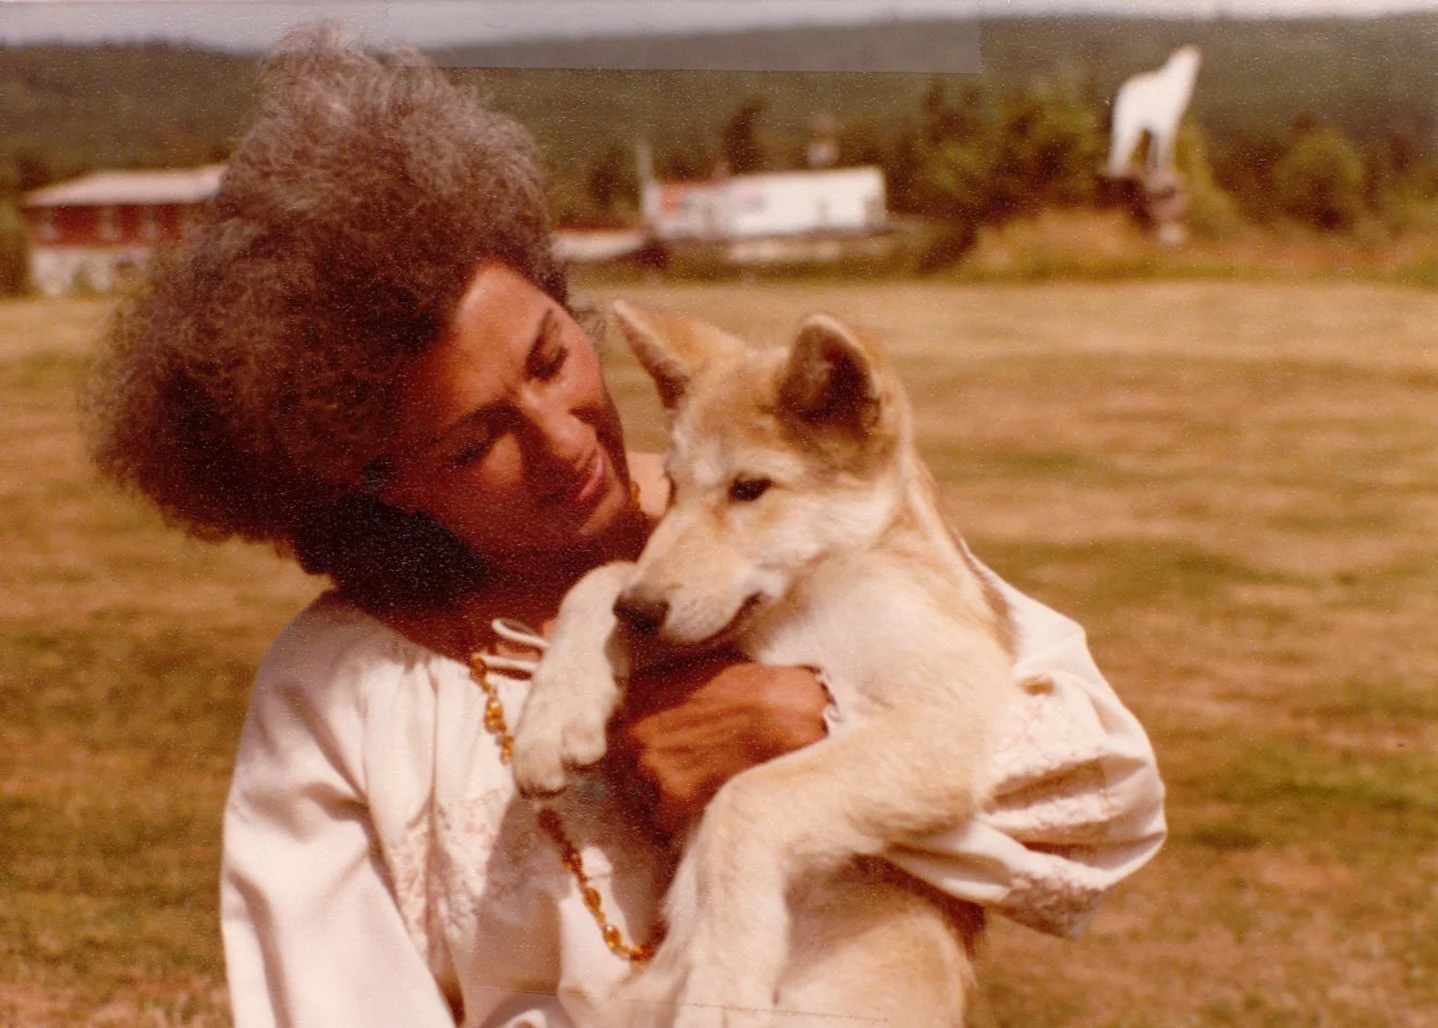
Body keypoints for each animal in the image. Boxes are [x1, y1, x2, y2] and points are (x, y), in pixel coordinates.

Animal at [511, 302, 1018, 1027]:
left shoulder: (948, 720)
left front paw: (721, 989)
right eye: (672, 485)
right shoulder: (716, 626)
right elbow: (600, 577)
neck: (813, 595)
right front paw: (551, 719)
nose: (638, 613)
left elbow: (744, 801)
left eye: (749, 487)